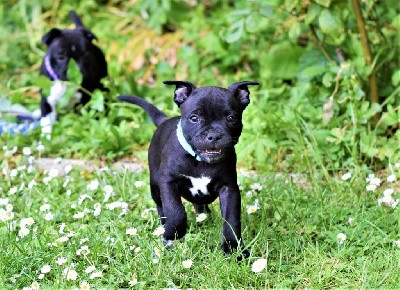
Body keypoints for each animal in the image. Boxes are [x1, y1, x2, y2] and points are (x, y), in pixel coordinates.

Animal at [119, 80, 258, 260]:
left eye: (231, 118)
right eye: (194, 118)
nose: (213, 135)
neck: (199, 161)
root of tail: (164, 121)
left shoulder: (229, 188)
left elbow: (231, 219)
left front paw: (234, 248)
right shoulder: (168, 181)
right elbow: (175, 211)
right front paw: (172, 235)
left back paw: (204, 218)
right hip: (155, 185)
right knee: (161, 206)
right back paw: (165, 225)